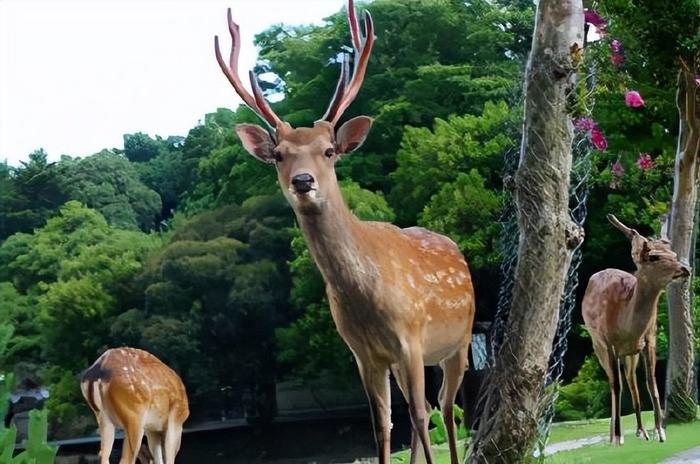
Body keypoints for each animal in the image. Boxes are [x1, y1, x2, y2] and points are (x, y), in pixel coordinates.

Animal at [213, 1, 476, 462]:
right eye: (279, 154)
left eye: (329, 150)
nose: (302, 181)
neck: (366, 298)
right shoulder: (364, 353)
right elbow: (382, 424)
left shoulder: (411, 336)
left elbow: (418, 416)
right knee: (426, 407)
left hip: (459, 338)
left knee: (443, 407)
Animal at [580, 216, 688, 444]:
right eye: (653, 257)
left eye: (674, 254)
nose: (685, 269)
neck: (627, 327)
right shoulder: (607, 342)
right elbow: (616, 385)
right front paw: (617, 437)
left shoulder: (650, 338)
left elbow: (651, 383)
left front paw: (659, 432)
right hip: (598, 346)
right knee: (614, 382)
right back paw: (614, 434)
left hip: (630, 354)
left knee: (632, 383)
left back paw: (641, 431)